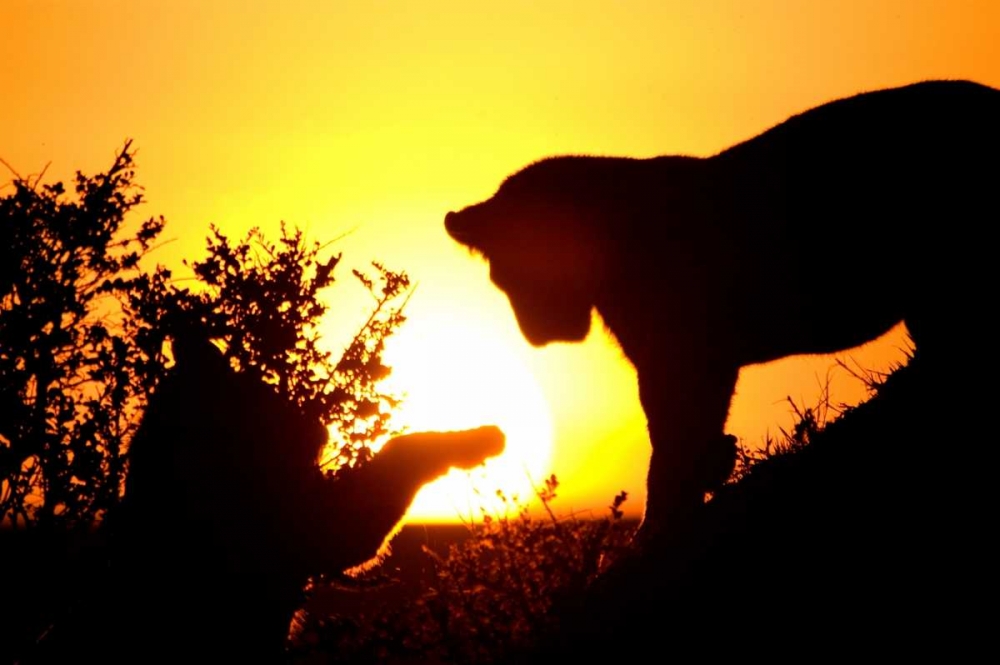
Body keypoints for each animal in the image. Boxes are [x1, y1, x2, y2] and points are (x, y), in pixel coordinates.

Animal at [444, 79, 999, 540]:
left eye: (523, 273)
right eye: (502, 278)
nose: (536, 333)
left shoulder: (677, 357)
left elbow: (671, 435)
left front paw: (661, 521)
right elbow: (684, 430)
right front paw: (707, 475)